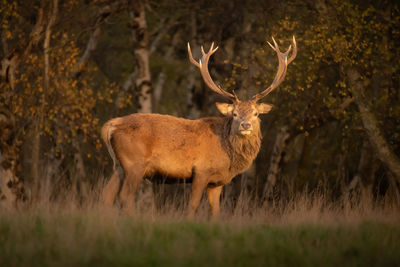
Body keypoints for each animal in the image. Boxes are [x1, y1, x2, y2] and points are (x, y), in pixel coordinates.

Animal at [102, 36, 296, 220]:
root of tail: (110, 126)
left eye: (255, 113)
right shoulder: (201, 171)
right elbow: (193, 205)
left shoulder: (217, 182)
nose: (245, 124)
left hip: (120, 166)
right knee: (125, 196)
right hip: (135, 163)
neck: (228, 156)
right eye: (234, 114)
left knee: (107, 195)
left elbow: (215, 211)